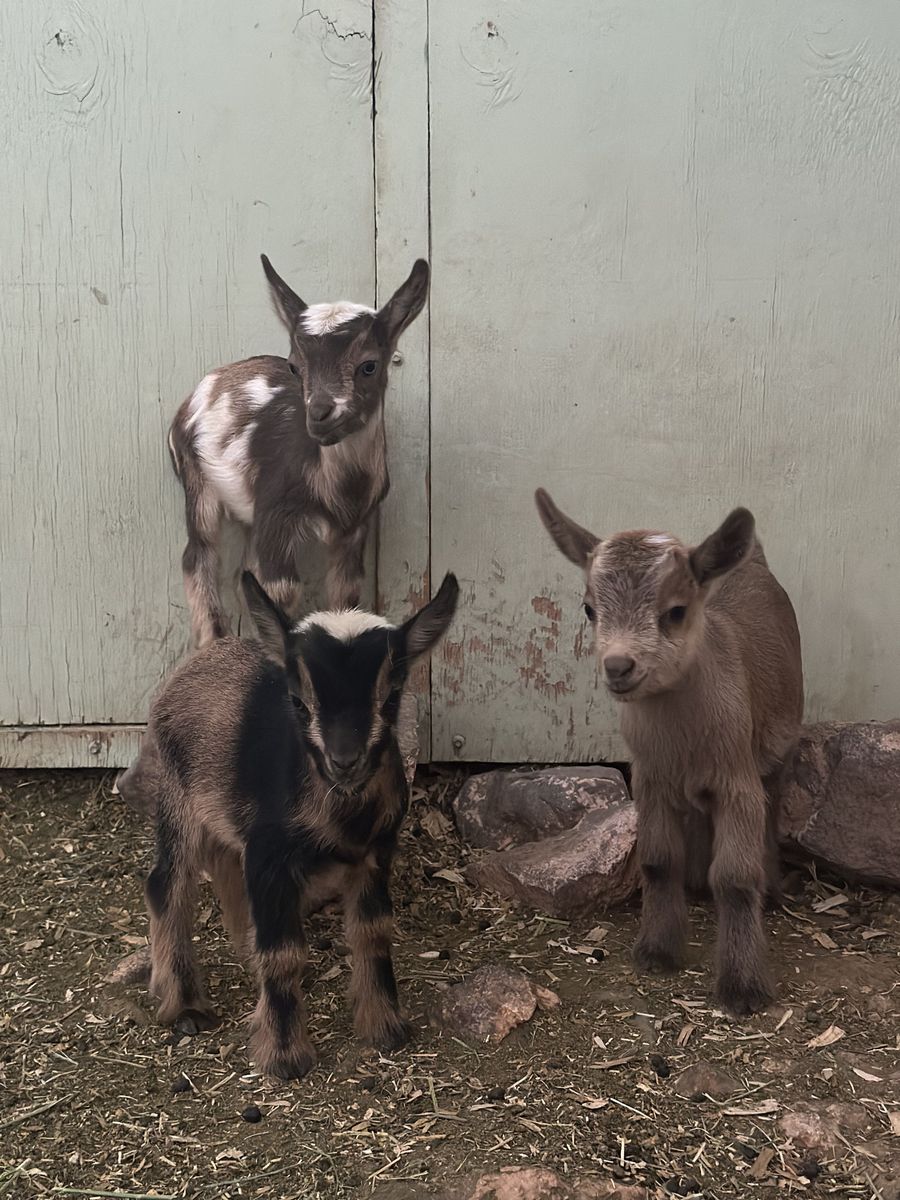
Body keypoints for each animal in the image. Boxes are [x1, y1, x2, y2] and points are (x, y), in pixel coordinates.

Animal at [139, 569, 459, 1078]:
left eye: (390, 696)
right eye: (298, 699)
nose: (344, 761)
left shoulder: (375, 854)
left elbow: (373, 931)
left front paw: (385, 1027)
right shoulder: (269, 855)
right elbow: (282, 952)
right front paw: (285, 1055)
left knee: (224, 871)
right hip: (177, 800)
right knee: (167, 884)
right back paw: (185, 1004)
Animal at [168, 255, 430, 647]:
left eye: (369, 365)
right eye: (294, 366)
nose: (320, 415)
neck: (338, 489)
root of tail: (209, 382)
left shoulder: (354, 528)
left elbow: (346, 596)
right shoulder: (277, 513)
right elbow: (281, 590)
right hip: (197, 482)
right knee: (199, 556)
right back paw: (214, 640)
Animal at [535, 492, 803, 1015]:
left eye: (676, 611)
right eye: (589, 609)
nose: (619, 666)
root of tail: (753, 561)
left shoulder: (736, 780)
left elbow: (735, 879)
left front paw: (743, 986)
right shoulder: (651, 779)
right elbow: (659, 862)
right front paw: (657, 950)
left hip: (779, 742)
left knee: (774, 797)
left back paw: (773, 887)